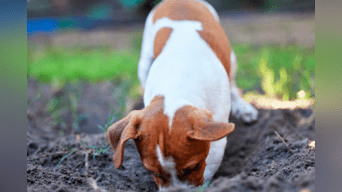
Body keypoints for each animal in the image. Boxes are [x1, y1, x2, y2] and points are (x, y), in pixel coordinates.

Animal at [107, 0, 256, 189]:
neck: (176, 84)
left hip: (232, 58)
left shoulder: (217, 139)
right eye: (153, 172)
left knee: (233, 84)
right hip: (144, 62)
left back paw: (243, 107)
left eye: (192, 168)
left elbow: (209, 168)